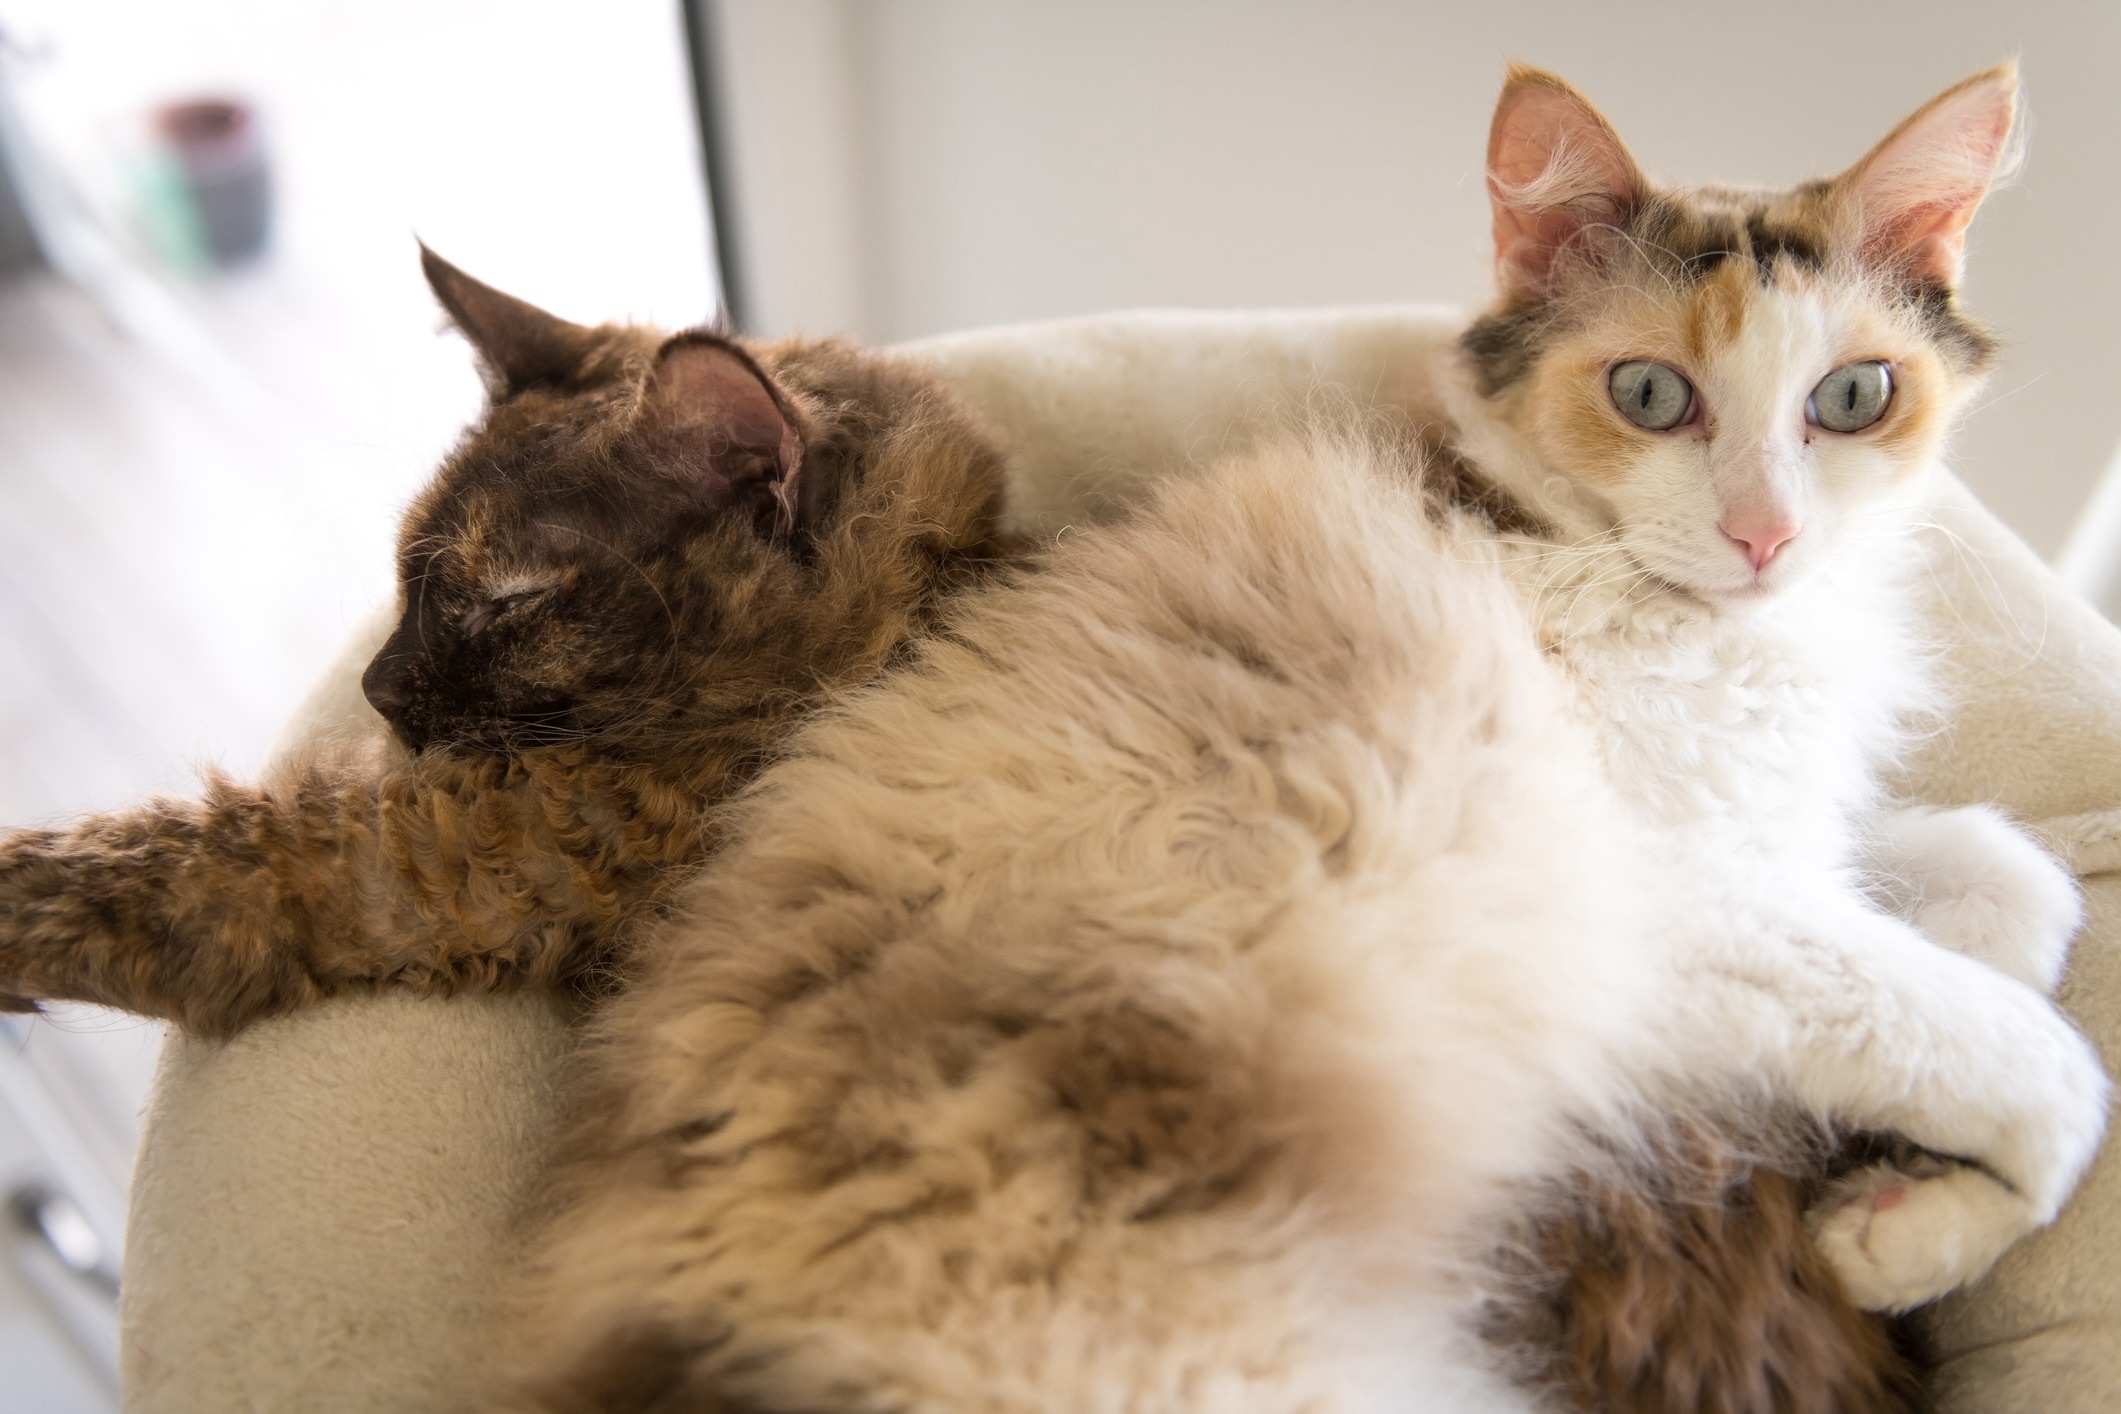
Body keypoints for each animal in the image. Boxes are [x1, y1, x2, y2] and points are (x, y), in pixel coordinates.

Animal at [472, 63, 2112, 1414]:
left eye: (1855, 397)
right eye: (1652, 394)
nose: (1766, 536)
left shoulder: (1780, 843)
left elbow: (2018, 889)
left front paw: (1897, 1200)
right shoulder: (1666, 903)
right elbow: (2038, 1062)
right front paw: (1901, 1230)